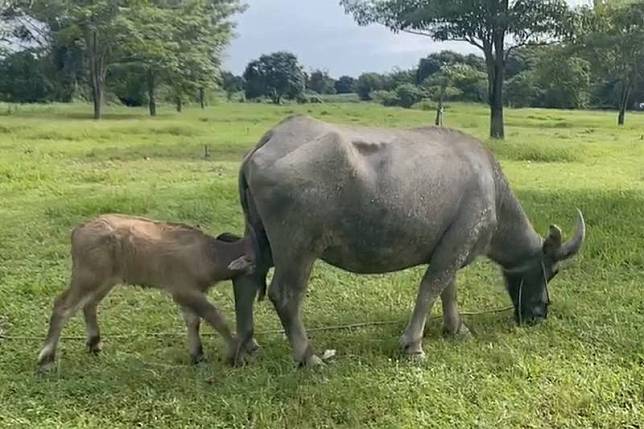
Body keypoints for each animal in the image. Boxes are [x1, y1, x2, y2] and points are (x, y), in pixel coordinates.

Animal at [230, 113, 584, 364]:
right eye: (552, 271)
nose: (540, 312)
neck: (493, 192)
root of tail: (269, 140)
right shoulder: (456, 246)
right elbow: (430, 289)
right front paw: (413, 344)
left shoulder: (451, 247)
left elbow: (448, 290)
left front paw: (457, 328)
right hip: (299, 248)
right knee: (285, 294)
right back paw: (308, 356)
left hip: (260, 238)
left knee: (246, 277)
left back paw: (248, 346)